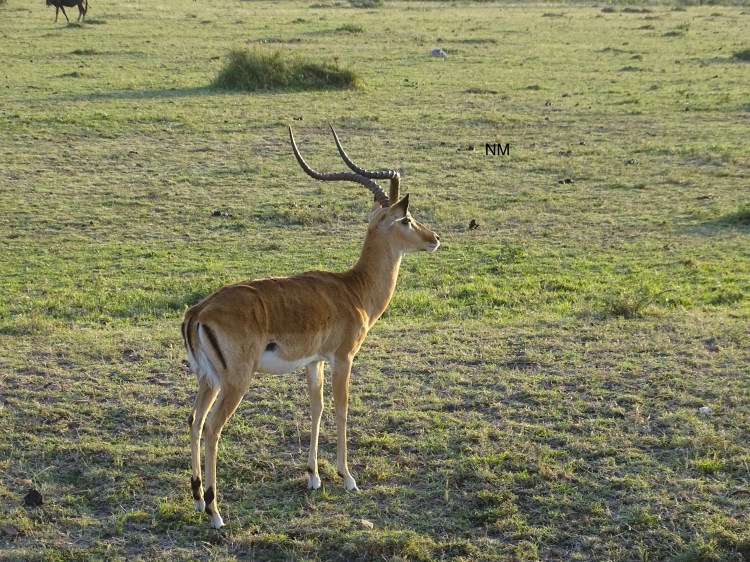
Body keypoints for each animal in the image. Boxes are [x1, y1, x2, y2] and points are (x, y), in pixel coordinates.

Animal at [182, 126, 440, 528]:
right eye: (406, 219)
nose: (435, 239)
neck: (353, 289)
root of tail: (199, 311)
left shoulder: (313, 362)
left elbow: (316, 408)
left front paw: (314, 476)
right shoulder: (343, 358)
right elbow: (341, 408)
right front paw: (347, 477)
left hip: (207, 379)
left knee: (194, 421)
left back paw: (196, 498)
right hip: (236, 381)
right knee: (212, 428)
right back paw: (215, 511)